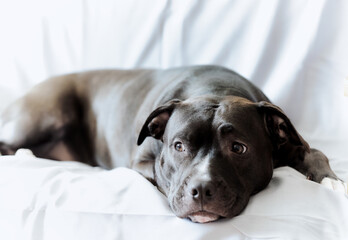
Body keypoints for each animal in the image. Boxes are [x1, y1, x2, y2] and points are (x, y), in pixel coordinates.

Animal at [0, 65, 342, 223]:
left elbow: (314, 151)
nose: (201, 189)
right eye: (178, 146)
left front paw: (331, 180)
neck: (216, 88)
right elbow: (159, 173)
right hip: (46, 113)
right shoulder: (140, 163)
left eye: (238, 148)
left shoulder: (286, 141)